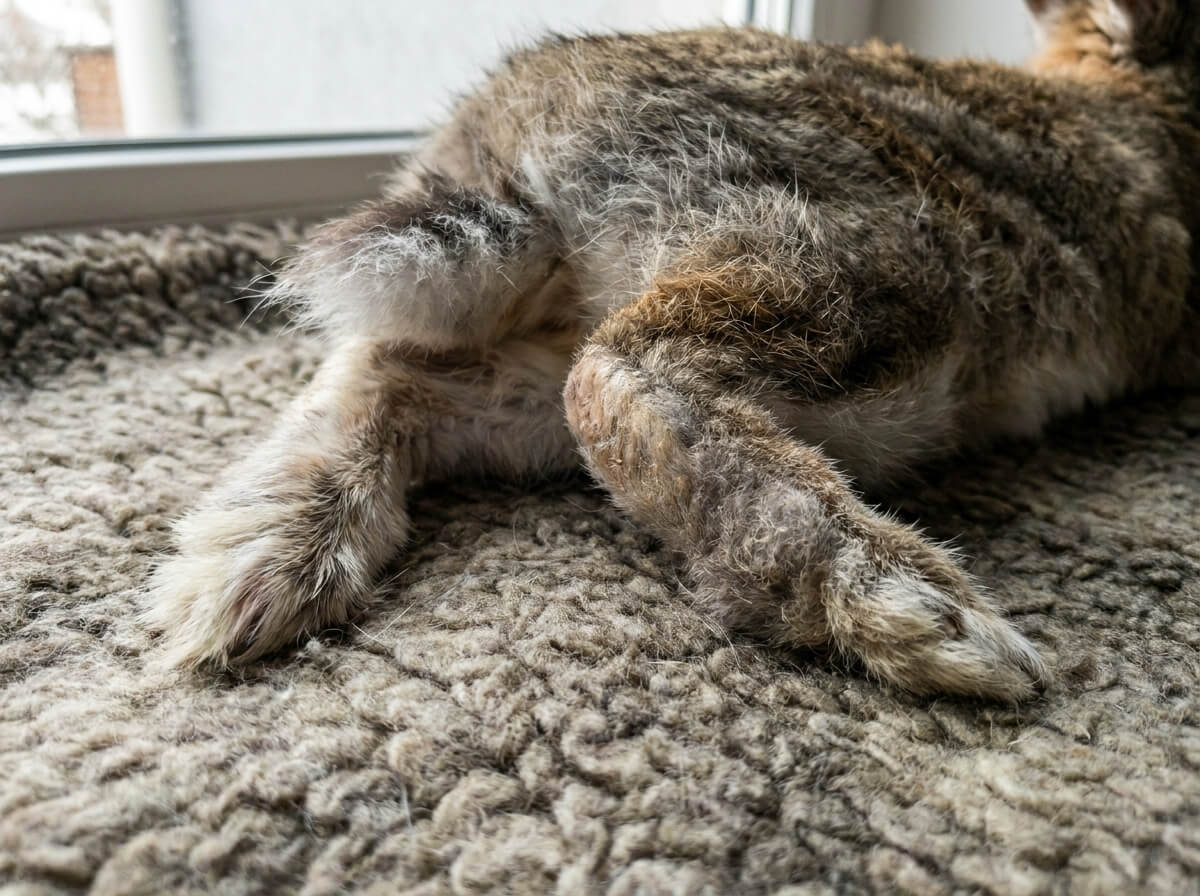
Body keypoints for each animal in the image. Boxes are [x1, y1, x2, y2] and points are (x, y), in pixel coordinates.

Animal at [145, 0, 1200, 700]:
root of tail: (510, 162)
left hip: (526, 382)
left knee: (387, 375)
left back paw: (251, 568)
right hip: (864, 280)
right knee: (628, 374)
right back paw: (928, 615)